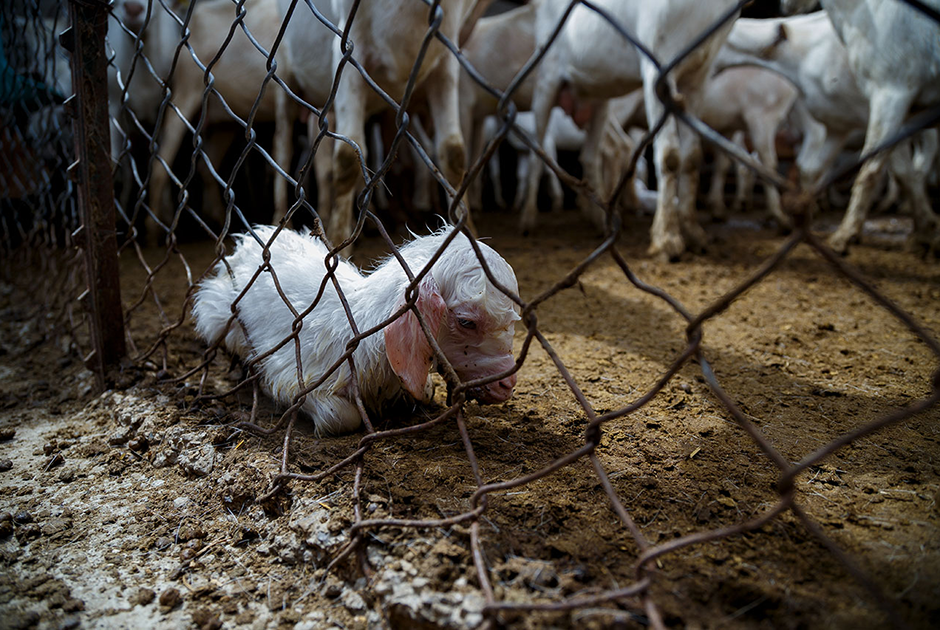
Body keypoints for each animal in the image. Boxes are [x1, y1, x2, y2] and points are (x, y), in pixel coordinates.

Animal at [194, 225, 516, 436]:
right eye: (466, 321)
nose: (507, 385)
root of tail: (249, 241)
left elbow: (425, 390)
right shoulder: (294, 374)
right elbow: (341, 416)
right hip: (217, 312)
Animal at [520, 0, 740, 260]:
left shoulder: (698, 77)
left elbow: (692, 158)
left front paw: (694, 233)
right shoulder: (658, 67)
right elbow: (670, 157)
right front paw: (666, 239)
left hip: (598, 96)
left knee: (590, 154)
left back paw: (600, 221)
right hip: (547, 79)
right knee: (537, 152)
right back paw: (528, 220)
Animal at [772, 1, 940, 254]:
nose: (784, 6)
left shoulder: (892, 93)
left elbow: (870, 170)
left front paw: (844, 235)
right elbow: (904, 172)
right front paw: (923, 232)